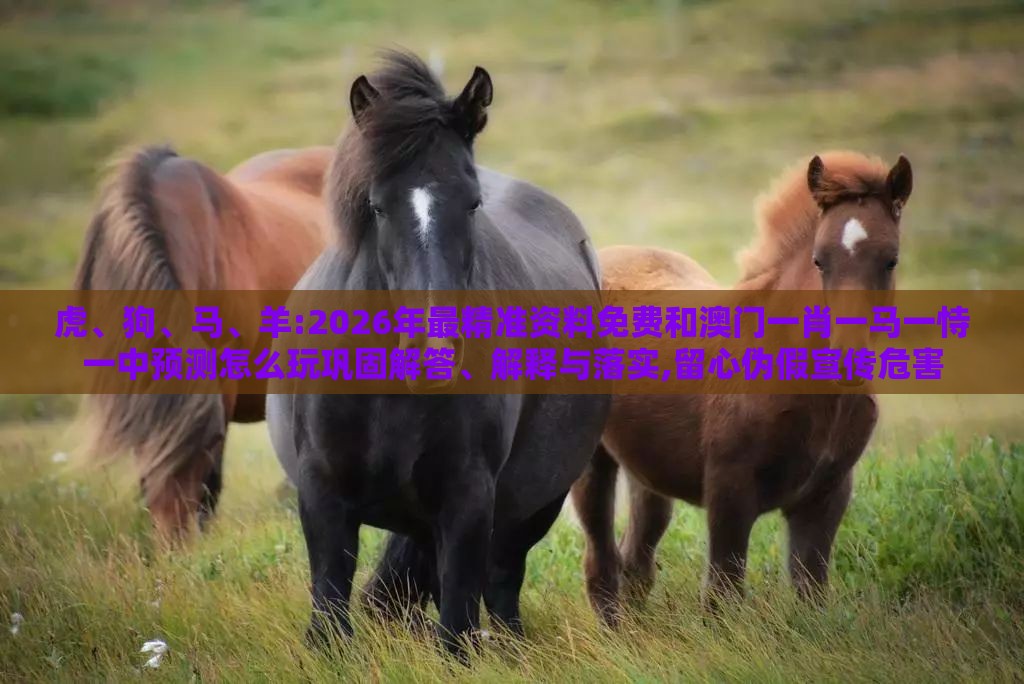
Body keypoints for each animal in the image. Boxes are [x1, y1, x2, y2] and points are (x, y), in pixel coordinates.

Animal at [266, 51, 610, 658]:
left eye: (471, 203)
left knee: (501, 585)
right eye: (377, 207)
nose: (434, 353)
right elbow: (330, 604)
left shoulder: (469, 498)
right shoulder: (322, 492)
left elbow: (456, 623)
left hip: (534, 503)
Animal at [571, 151, 913, 625]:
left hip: (648, 468)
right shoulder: (729, 490)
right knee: (600, 560)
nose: (847, 351)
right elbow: (722, 593)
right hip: (591, 461)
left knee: (636, 558)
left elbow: (810, 590)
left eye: (891, 260)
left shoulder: (827, 495)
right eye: (819, 260)